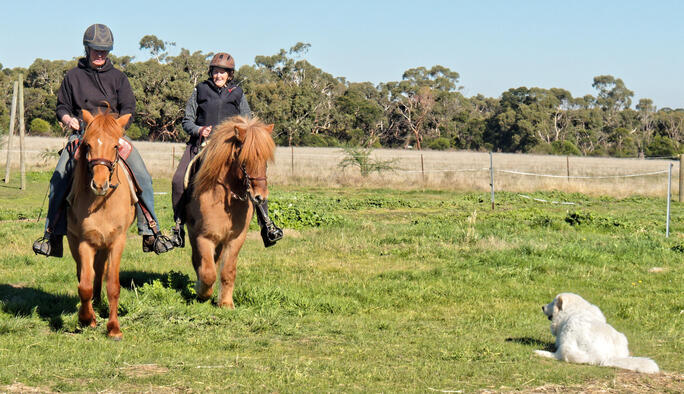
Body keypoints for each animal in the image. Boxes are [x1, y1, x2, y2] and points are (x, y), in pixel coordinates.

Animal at [67, 108, 136, 338]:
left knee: (100, 272)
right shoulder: (84, 242)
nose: (99, 184)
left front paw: (114, 328)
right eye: (87, 145)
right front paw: (87, 318)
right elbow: (84, 285)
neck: (102, 204)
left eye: (115, 145)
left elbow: (113, 285)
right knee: (86, 274)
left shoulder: (117, 242)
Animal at [187, 115, 276, 310]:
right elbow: (207, 272)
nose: (260, 197)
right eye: (245, 160)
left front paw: (226, 303)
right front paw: (202, 292)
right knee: (198, 262)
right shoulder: (203, 237)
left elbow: (227, 271)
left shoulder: (234, 239)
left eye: (266, 160)